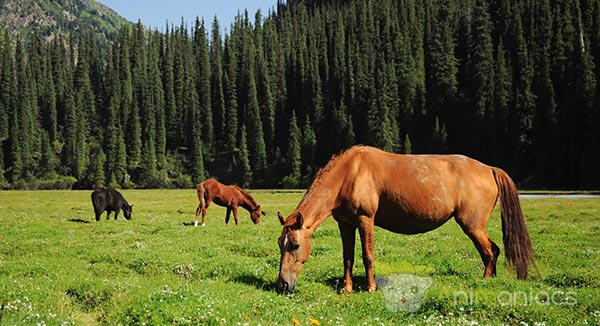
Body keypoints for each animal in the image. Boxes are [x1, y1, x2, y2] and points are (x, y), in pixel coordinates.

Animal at [276, 146, 536, 294]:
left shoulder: (365, 220)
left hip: (472, 225)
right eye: (281, 245)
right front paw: (347, 289)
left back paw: (485, 281)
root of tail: (489, 169)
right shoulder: (345, 224)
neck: (350, 173)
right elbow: (347, 258)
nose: (283, 285)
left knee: (490, 252)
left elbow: (367, 256)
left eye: (295, 245)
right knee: (492, 251)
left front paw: (370, 287)